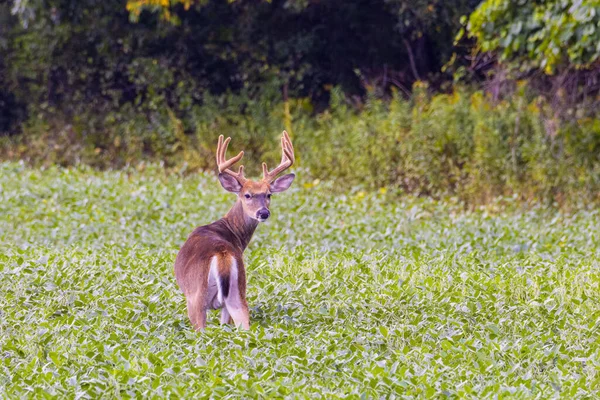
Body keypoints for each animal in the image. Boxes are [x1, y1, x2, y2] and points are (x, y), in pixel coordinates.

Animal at [173, 131, 296, 332]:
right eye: (247, 195)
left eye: (268, 194)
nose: (263, 213)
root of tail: (222, 254)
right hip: (238, 292)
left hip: (196, 296)